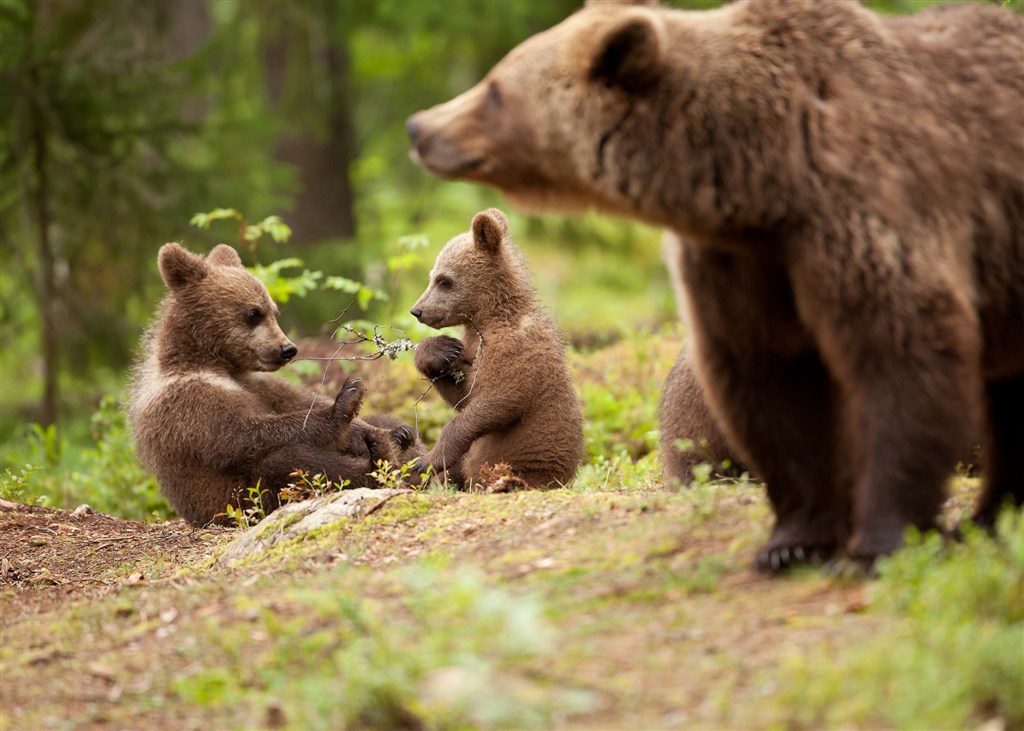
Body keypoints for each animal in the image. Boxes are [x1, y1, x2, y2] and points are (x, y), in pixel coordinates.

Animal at [405, 0, 1024, 569]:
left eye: (444, 278)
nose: (416, 311)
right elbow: (468, 390)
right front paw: (438, 356)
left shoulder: (522, 350)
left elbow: (495, 403)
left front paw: (433, 452)